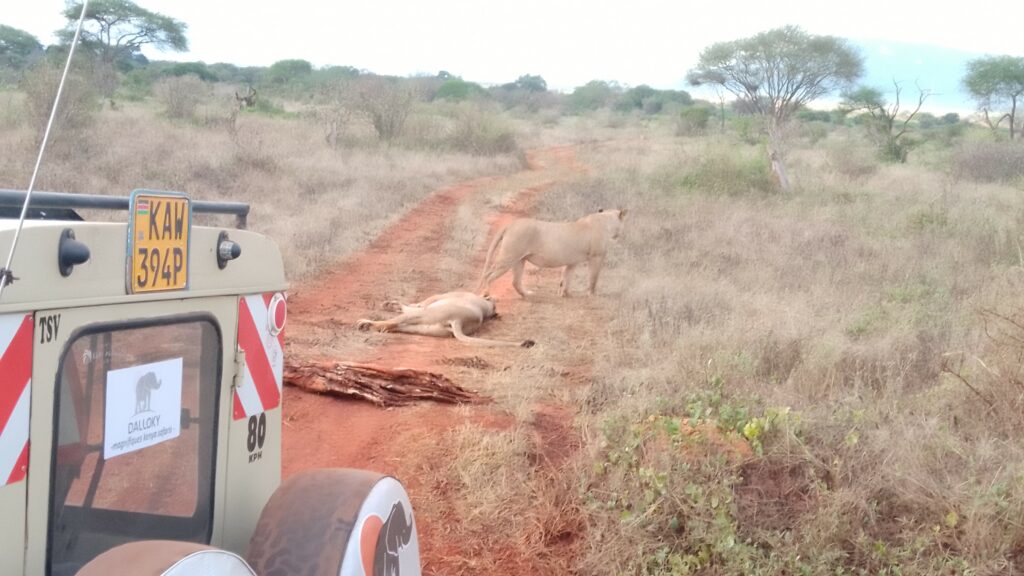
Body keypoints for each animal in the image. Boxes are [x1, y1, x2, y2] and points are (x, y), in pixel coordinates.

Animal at [358, 291, 536, 344]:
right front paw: (390, 304)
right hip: (423, 328)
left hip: (425, 315)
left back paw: (364, 324)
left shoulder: (437, 298)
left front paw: (388, 304)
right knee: (394, 325)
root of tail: (460, 321)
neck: (488, 307)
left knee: (390, 323)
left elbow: (416, 304)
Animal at [477, 206, 622, 295]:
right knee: (488, 275)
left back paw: (527, 294)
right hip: (508, 257)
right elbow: (593, 277)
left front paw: (564, 293)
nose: (619, 235)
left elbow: (566, 277)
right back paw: (487, 294)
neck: (605, 220)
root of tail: (510, 225)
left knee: (515, 282)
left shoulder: (572, 262)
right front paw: (591, 294)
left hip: (519, 259)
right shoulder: (597, 256)